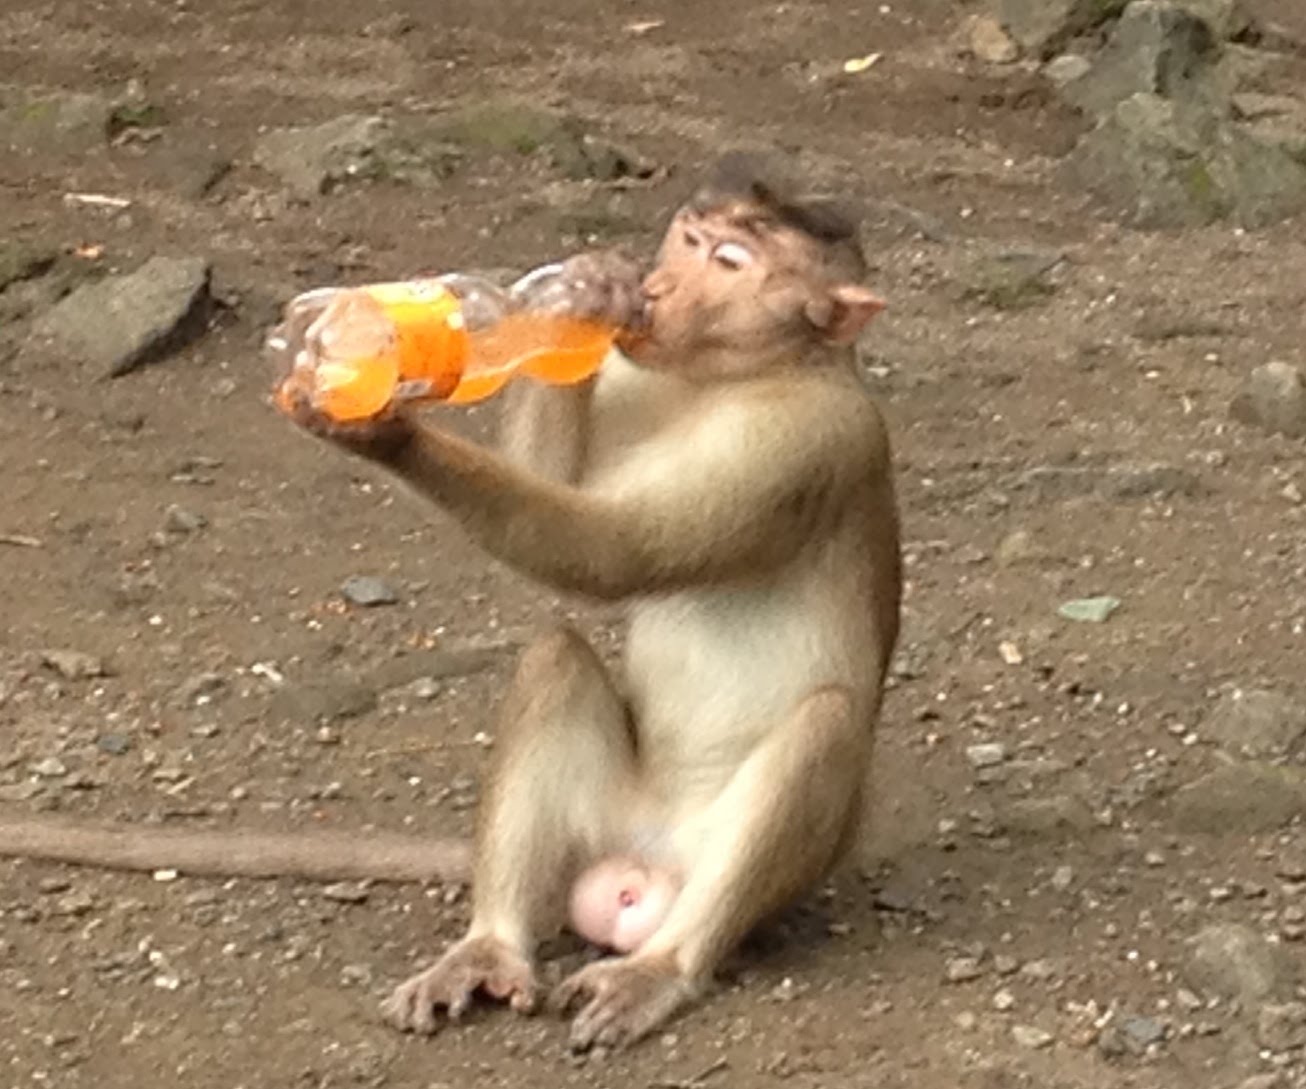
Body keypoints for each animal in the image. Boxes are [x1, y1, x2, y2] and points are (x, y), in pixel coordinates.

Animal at [0, 151, 901, 1052]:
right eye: (687, 239)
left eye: (730, 262)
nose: (659, 285)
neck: (731, 375)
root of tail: (637, 870)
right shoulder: (631, 368)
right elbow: (557, 483)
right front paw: (586, 287)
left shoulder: (801, 438)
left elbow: (618, 549)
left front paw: (378, 409)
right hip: (599, 822)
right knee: (552, 658)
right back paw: (489, 947)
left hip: (733, 878)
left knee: (821, 725)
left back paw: (662, 968)